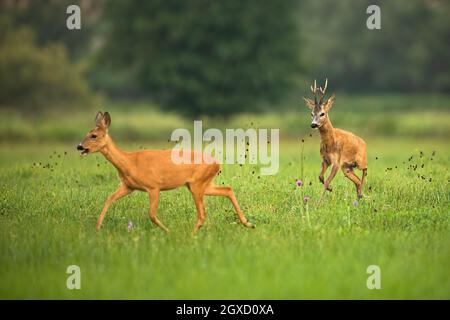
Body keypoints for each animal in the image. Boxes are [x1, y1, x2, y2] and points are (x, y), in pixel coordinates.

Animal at [77, 111, 253, 234]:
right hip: (201, 184)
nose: (79, 146)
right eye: (86, 134)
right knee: (227, 189)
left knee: (202, 213)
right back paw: (248, 223)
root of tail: (217, 164)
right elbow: (109, 198)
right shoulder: (128, 186)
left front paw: (168, 232)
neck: (129, 162)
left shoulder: (153, 187)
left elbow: (151, 215)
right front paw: (97, 227)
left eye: (94, 136)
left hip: (197, 184)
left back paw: (191, 236)